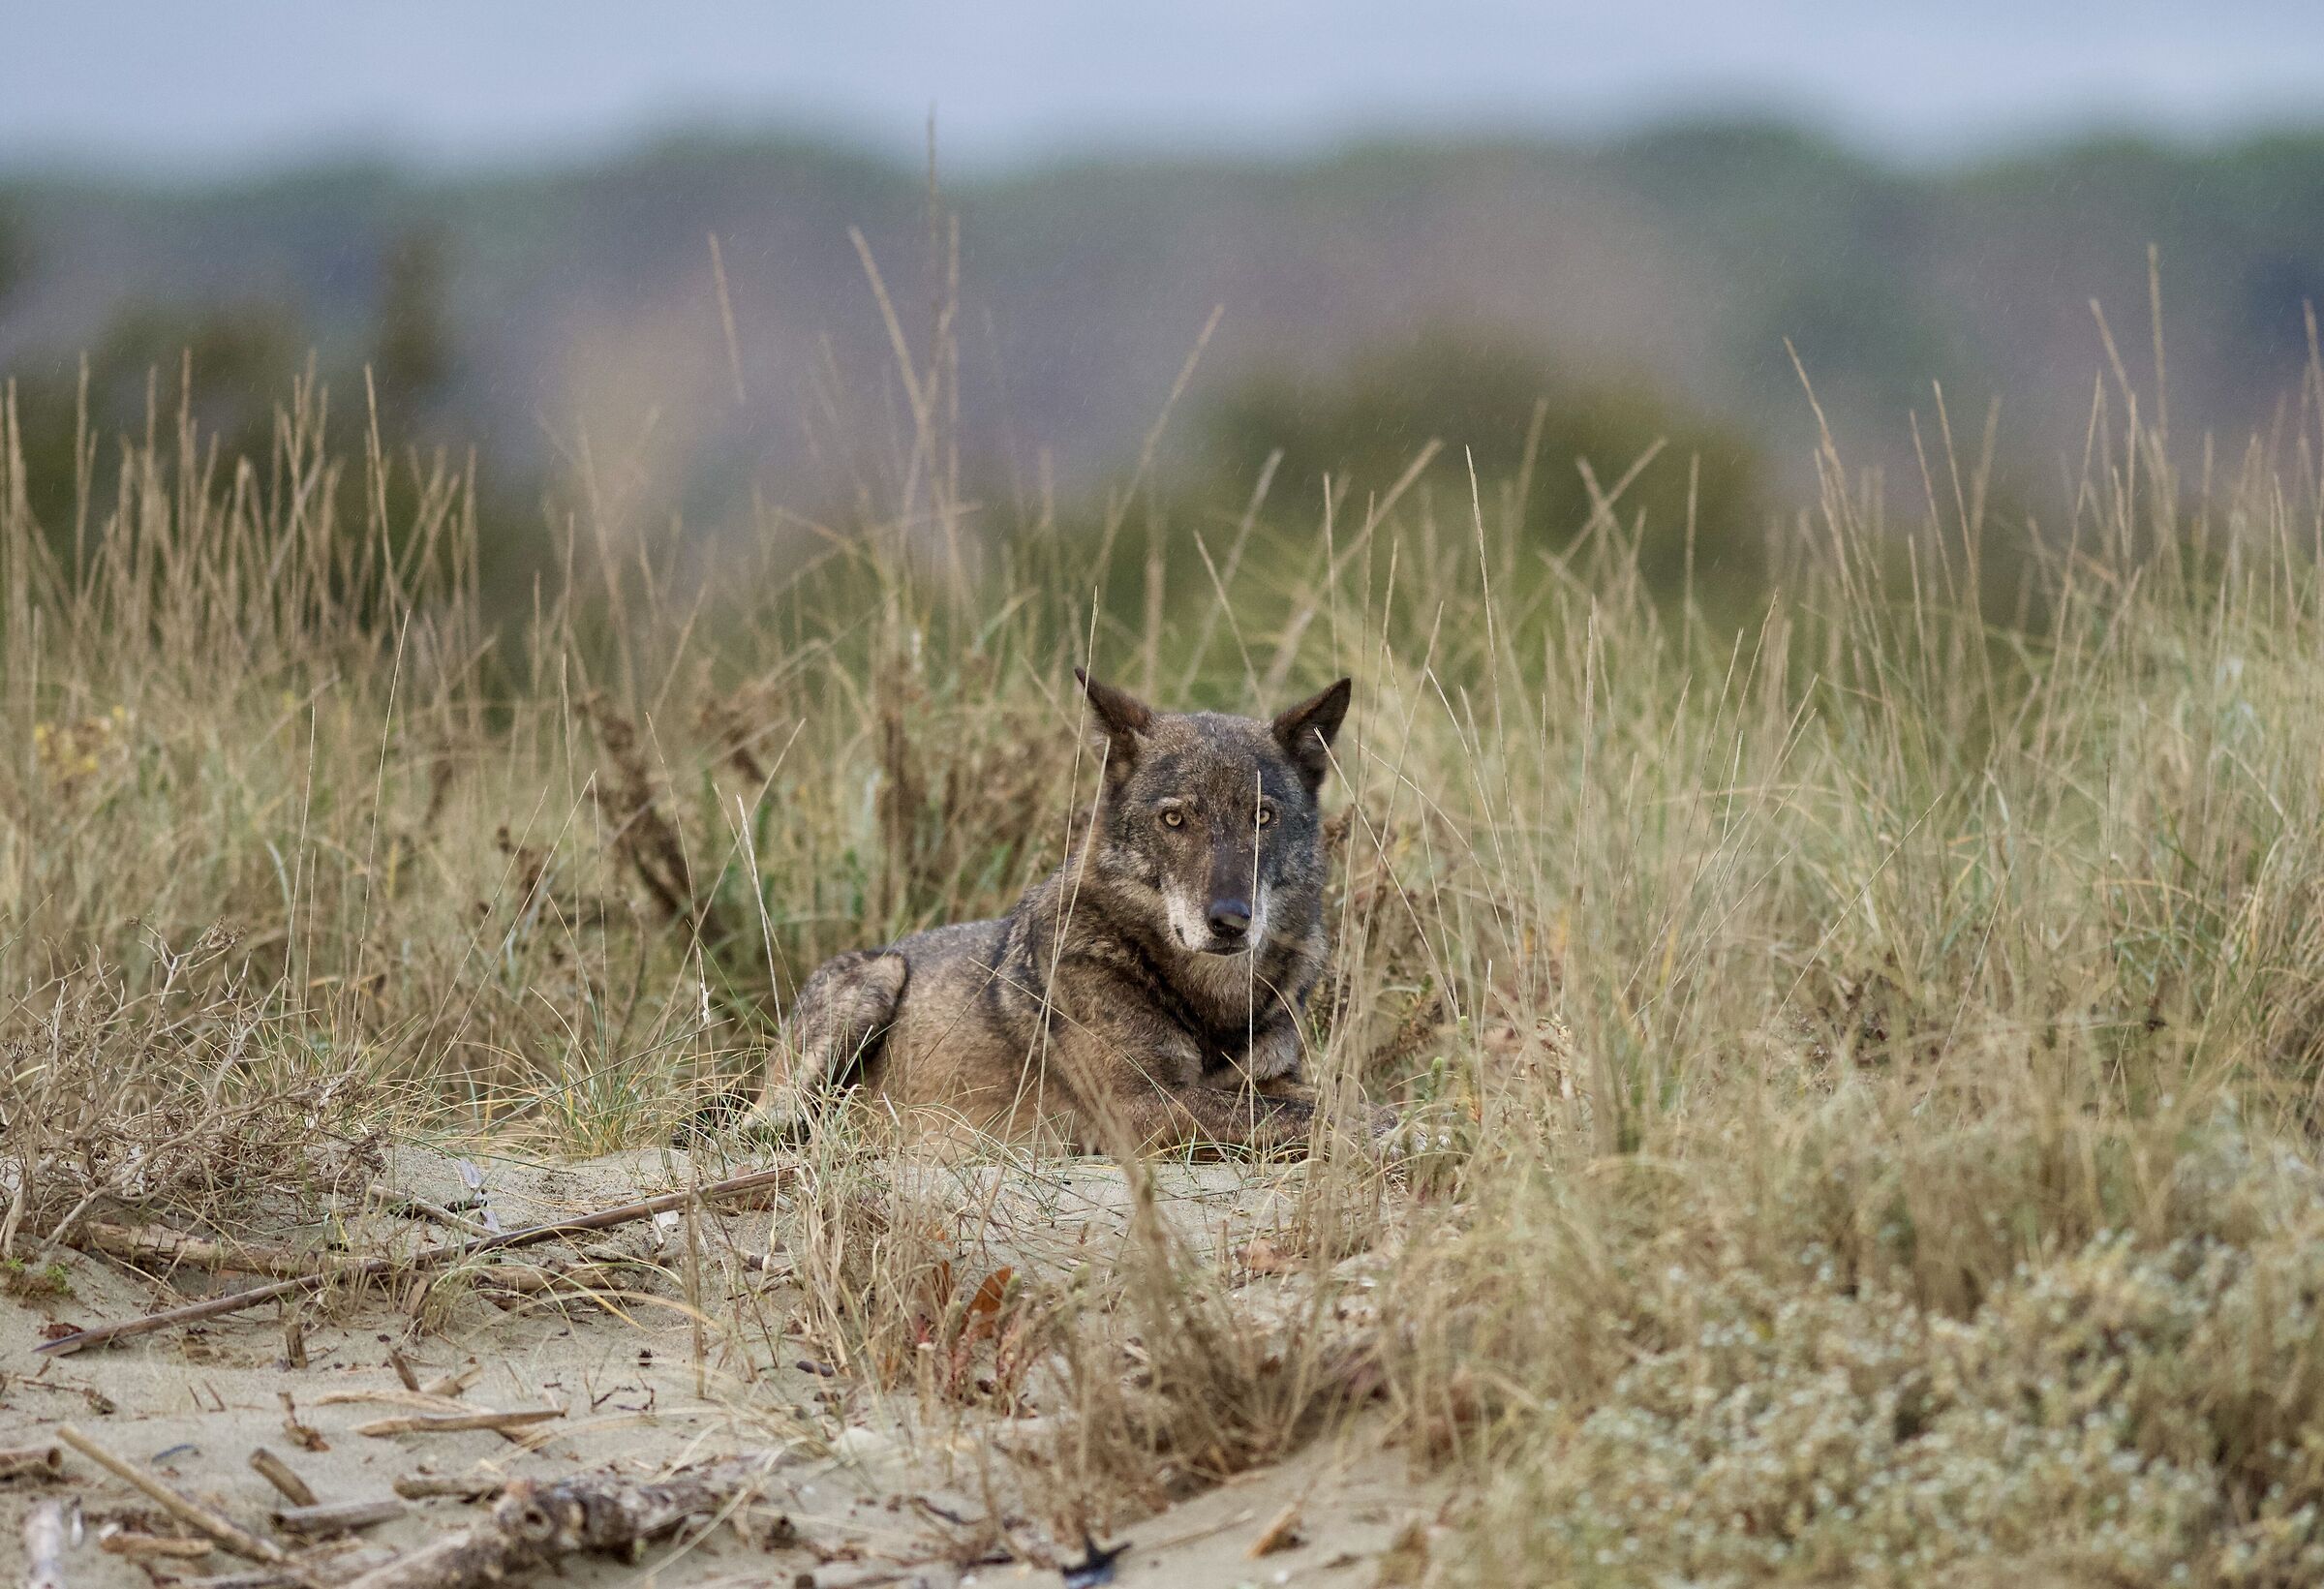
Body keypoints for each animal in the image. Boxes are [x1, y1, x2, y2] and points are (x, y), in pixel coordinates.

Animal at [745, 670, 1362, 1153]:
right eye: (1174, 819)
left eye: (1263, 816)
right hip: (878, 980)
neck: (1214, 1002)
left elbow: (1331, 1102)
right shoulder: (1138, 1108)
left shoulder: (1268, 1078)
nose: (1230, 921)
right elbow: (1306, 1116)